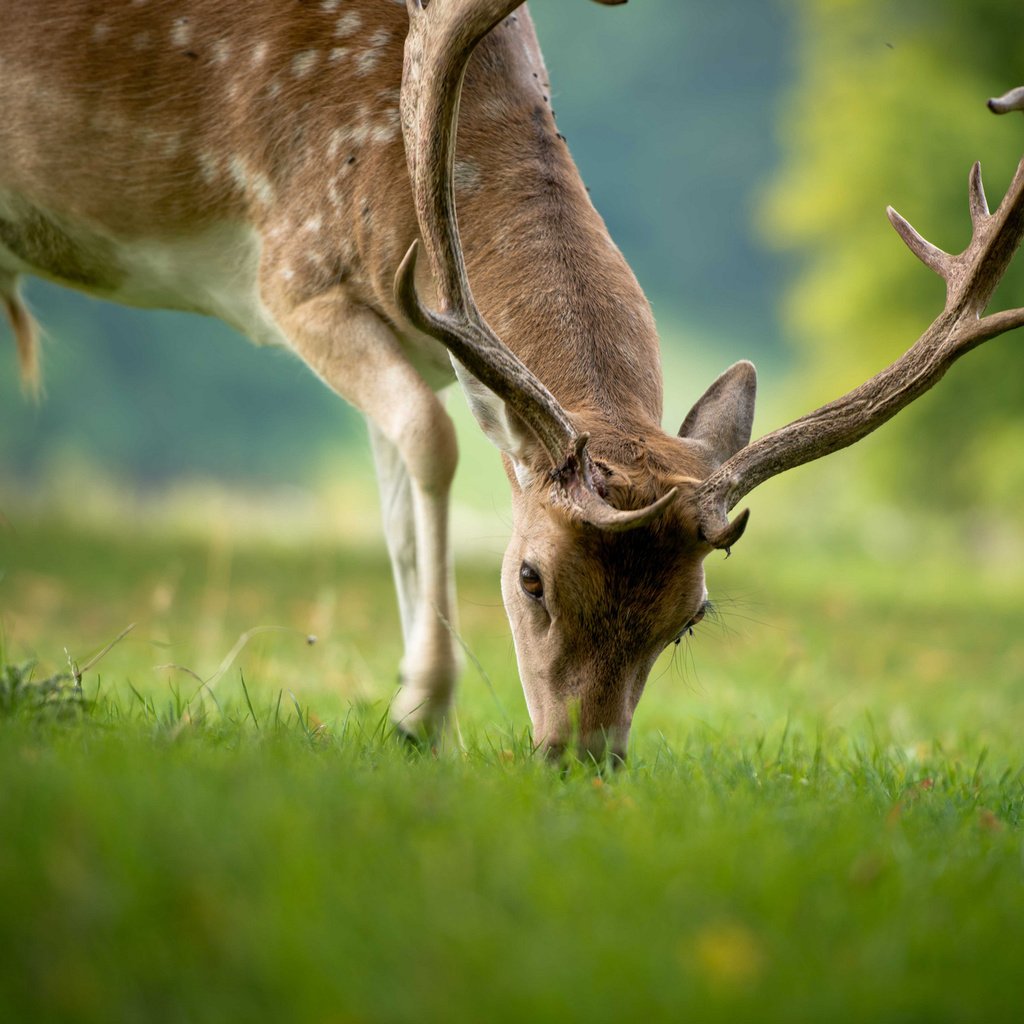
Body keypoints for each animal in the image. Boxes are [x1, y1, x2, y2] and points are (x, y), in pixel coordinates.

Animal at [2, 2, 1024, 761]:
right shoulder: (295, 272)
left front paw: (406, 710)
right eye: (531, 579)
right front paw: (424, 714)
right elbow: (431, 440)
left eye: (691, 617)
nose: (583, 760)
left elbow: (393, 502)